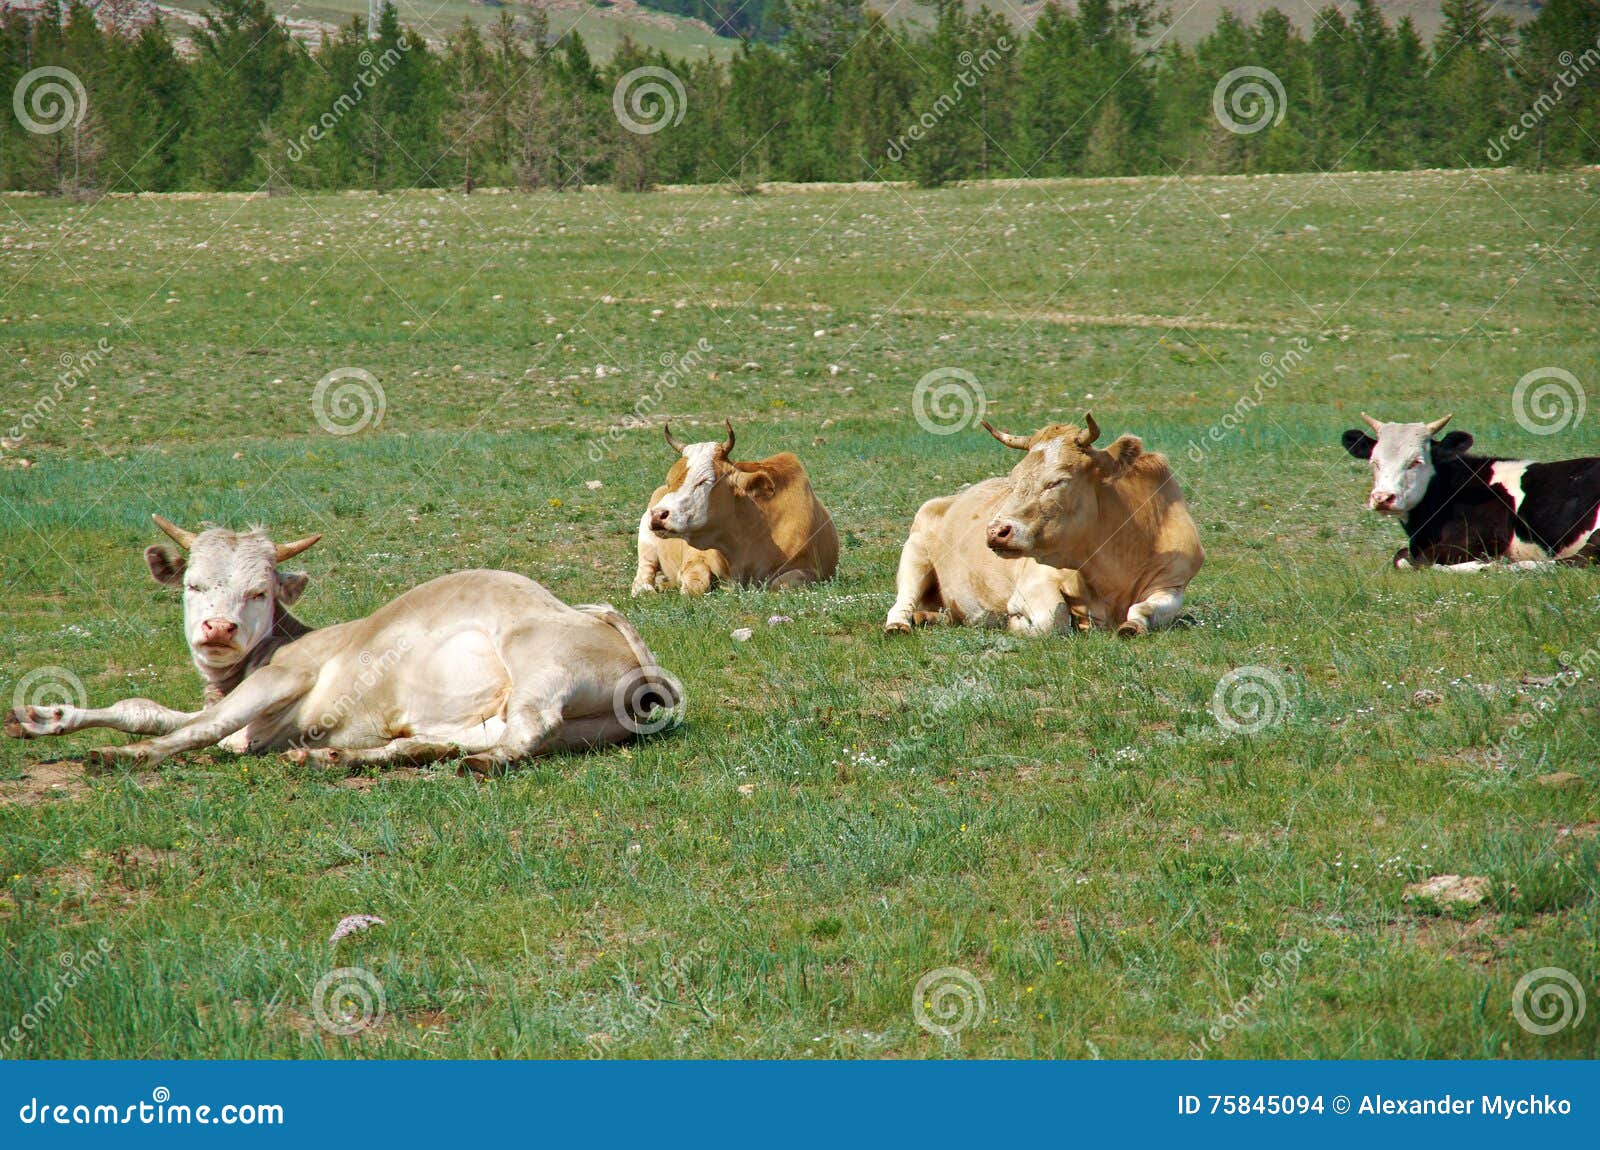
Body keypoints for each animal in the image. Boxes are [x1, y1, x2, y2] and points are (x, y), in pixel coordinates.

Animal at [5, 516, 681, 775]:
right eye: (194, 585)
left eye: (258, 591)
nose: (217, 630)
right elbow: (148, 711)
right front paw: (45, 716)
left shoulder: (282, 679)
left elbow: (200, 728)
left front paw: (125, 755)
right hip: (555, 724)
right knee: (448, 740)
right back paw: (339, 757)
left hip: (537, 663)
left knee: (525, 732)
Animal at [631, 421, 839, 596]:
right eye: (669, 481)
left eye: (703, 481)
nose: (658, 514)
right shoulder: (695, 560)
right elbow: (696, 584)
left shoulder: (810, 570)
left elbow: (781, 583)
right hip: (646, 540)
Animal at [885, 414, 1203, 637]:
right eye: (1014, 478)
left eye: (1058, 481)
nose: (996, 531)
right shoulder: (1035, 581)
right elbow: (1054, 618)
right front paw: (1015, 623)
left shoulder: (1172, 584)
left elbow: (1144, 608)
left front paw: (1132, 625)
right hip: (915, 554)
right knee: (901, 603)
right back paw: (901, 624)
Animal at [1341, 413, 1600, 570]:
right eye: (1374, 461)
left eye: (1416, 461)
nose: (1383, 497)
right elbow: (1402, 556)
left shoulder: (1482, 538)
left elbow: (1414, 559)